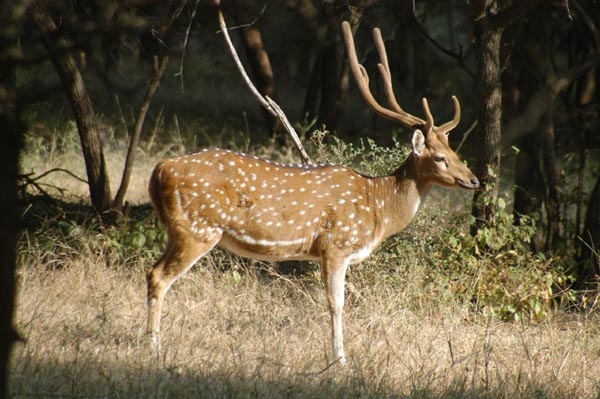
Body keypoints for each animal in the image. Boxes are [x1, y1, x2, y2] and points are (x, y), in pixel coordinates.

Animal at [145, 21, 478, 366]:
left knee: (151, 272)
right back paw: (153, 348)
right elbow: (336, 304)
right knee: (158, 276)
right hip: (198, 229)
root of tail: (160, 170)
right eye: (439, 157)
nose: (474, 180)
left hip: (178, 230)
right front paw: (340, 360)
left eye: (454, 150)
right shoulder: (336, 245)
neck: (377, 206)